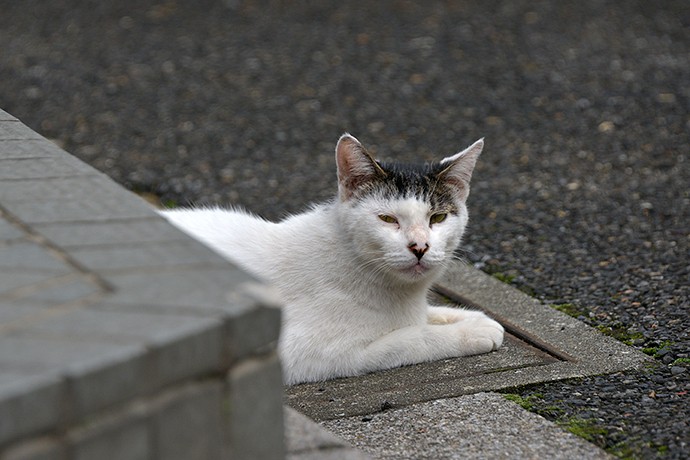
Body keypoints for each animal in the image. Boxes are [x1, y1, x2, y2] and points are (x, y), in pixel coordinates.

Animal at [162, 134, 506, 384]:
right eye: (387, 219)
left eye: (438, 218)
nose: (420, 246)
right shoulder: (309, 352)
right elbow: (411, 337)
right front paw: (469, 332)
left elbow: (427, 316)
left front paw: (475, 318)